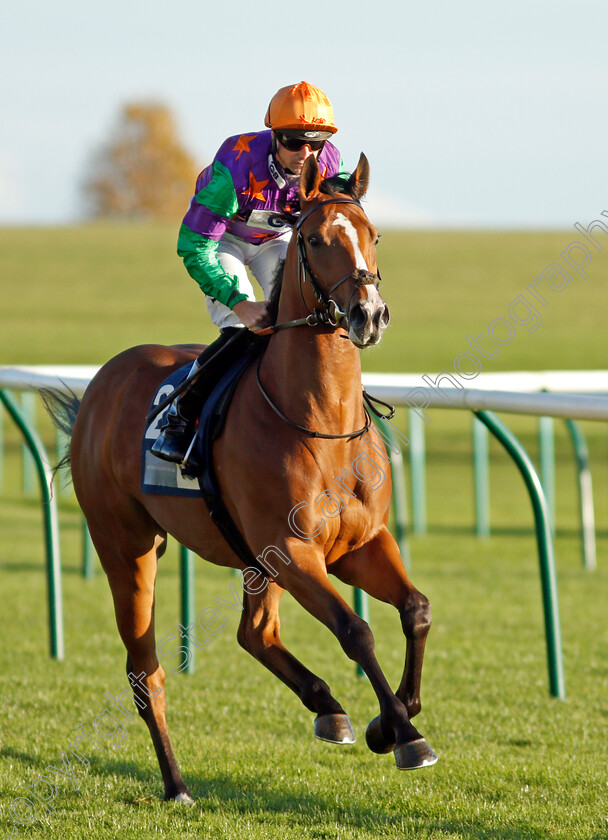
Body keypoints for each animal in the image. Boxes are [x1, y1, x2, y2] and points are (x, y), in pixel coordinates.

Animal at [46, 154, 436, 804]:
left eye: (374, 234)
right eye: (314, 239)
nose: (369, 315)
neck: (321, 422)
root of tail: (100, 385)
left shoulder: (359, 544)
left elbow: (416, 609)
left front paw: (392, 719)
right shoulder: (294, 552)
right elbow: (356, 630)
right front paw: (404, 735)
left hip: (251, 560)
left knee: (255, 633)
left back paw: (327, 707)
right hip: (126, 544)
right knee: (145, 669)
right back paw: (176, 783)